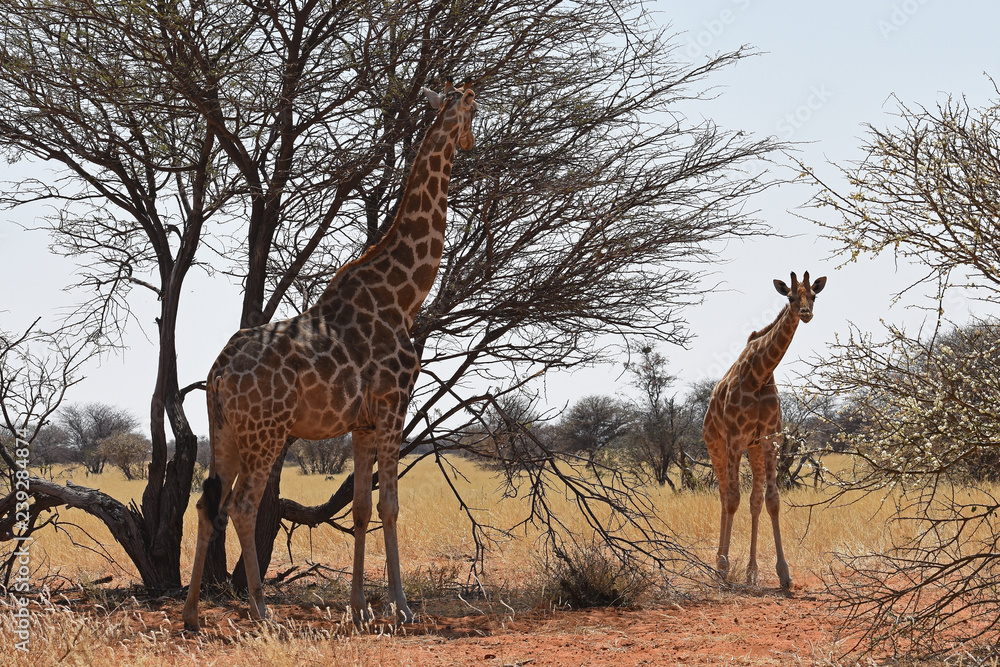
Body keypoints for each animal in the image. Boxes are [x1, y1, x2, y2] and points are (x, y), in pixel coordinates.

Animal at [182, 81, 477, 631]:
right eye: (473, 111)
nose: (469, 142)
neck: (404, 297)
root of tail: (218, 374)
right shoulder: (393, 406)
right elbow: (389, 506)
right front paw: (400, 606)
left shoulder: (361, 421)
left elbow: (359, 508)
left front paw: (359, 607)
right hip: (267, 432)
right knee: (243, 506)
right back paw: (260, 611)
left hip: (225, 431)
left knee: (208, 505)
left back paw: (191, 614)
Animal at [702, 271, 826, 590]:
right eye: (791, 297)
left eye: (814, 296)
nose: (806, 313)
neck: (760, 373)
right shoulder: (735, 439)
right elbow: (733, 498)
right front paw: (723, 567)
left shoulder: (770, 439)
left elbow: (771, 501)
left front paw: (784, 573)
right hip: (715, 446)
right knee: (724, 494)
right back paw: (719, 563)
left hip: (754, 448)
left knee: (754, 500)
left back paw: (751, 571)